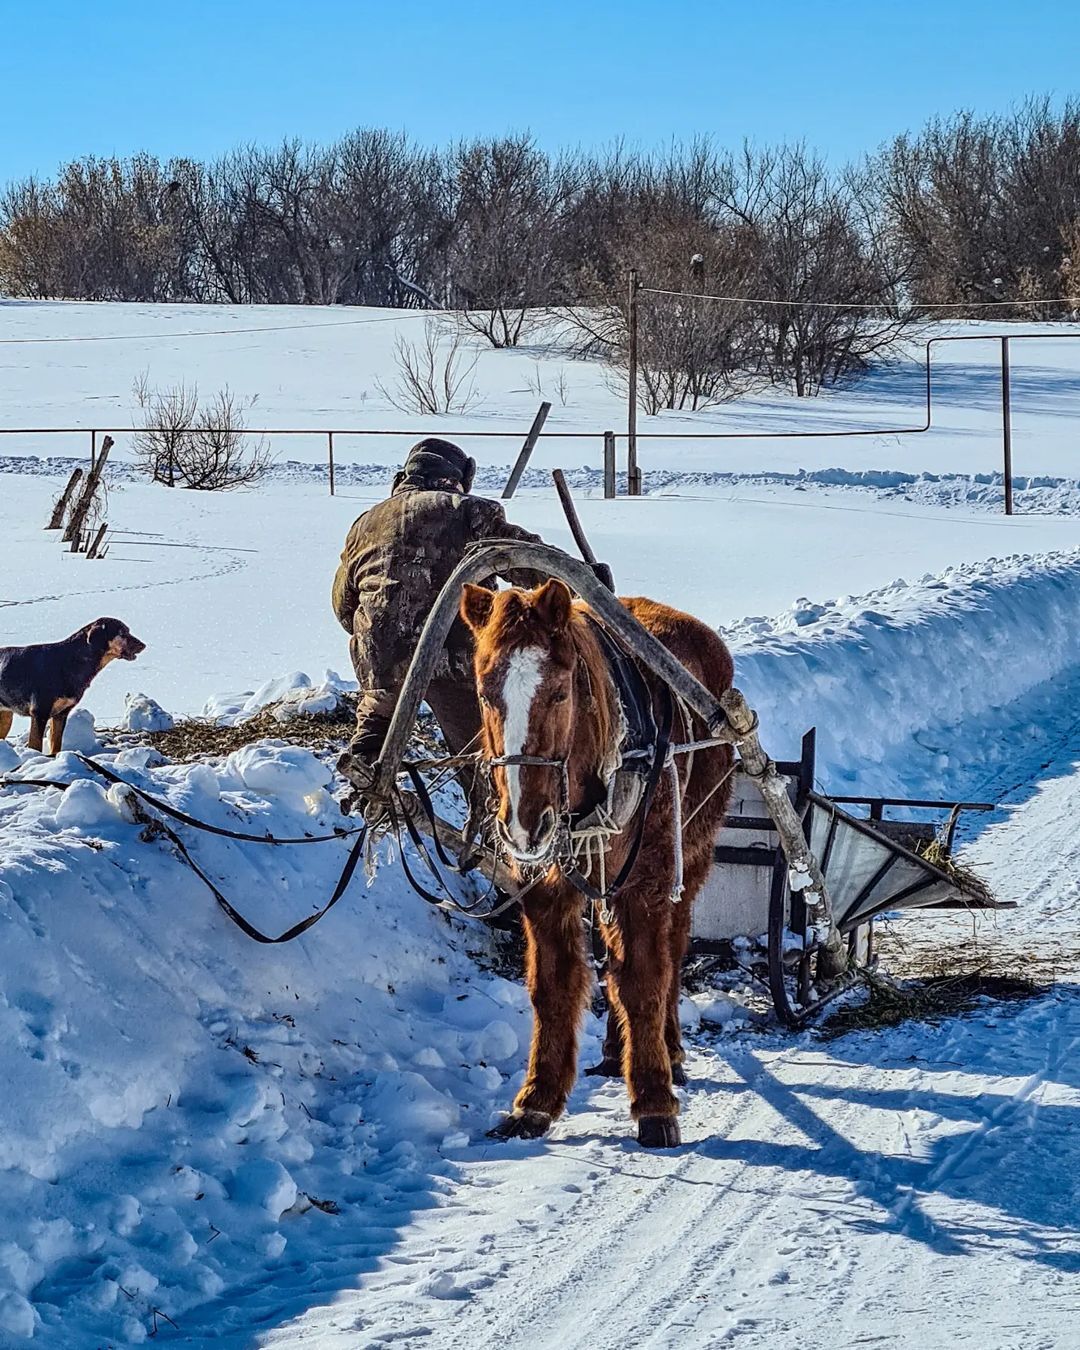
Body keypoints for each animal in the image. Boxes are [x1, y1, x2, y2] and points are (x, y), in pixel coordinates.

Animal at [0, 618, 145, 756]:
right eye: (122, 633)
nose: (143, 645)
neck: (70, 660)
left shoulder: (61, 714)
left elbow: (56, 745)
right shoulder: (39, 713)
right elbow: (35, 745)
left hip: (6, 717)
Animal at [459, 575, 739, 1144]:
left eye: (560, 691)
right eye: (483, 692)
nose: (525, 822)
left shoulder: (647, 878)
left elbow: (644, 980)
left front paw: (654, 1100)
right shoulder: (547, 885)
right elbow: (555, 985)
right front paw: (536, 1099)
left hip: (692, 854)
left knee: (673, 948)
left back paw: (670, 1051)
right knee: (614, 955)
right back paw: (615, 1050)